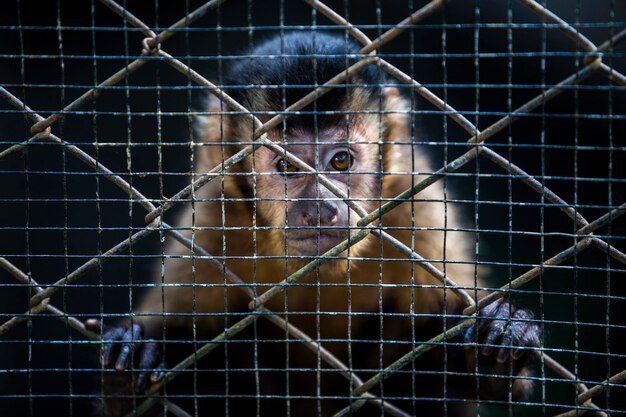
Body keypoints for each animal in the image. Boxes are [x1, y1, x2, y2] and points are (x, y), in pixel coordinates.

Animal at [85, 32, 540, 416]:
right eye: (288, 166)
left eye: (340, 161)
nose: (320, 210)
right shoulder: (217, 217)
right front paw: (131, 365)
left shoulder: (416, 205)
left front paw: (494, 351)